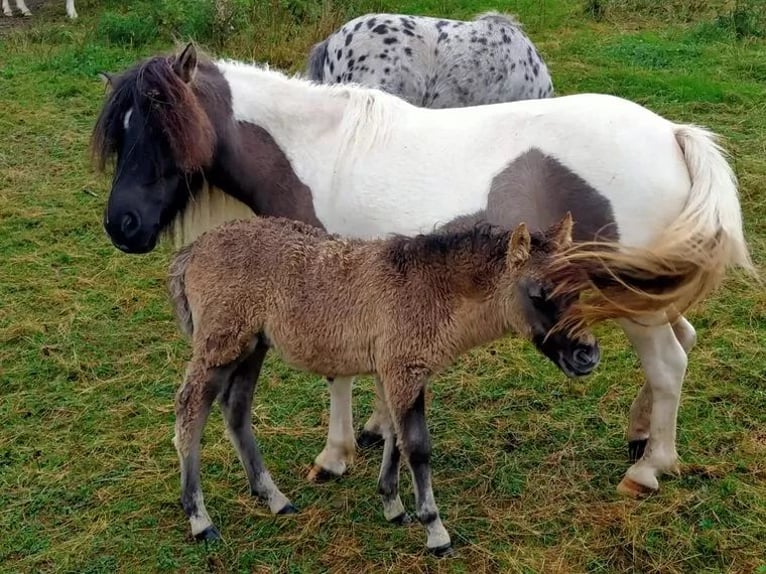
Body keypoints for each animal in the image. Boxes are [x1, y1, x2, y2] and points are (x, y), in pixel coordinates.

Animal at [91, 41, 756, 512]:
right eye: (120, 135)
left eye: (164, 127)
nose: (123, 225)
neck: (318, 154)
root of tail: (673, 135)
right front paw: (377, 430)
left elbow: (336, 375)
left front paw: (335, 456)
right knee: (683, 343)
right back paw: (640, 435)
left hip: (632, 300)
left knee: (669, 364)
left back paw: (649, 469)